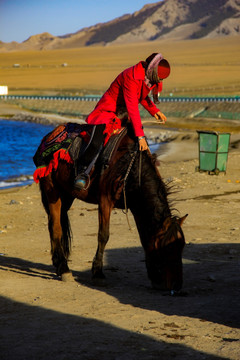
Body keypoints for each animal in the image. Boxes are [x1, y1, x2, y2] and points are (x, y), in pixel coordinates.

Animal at [37, 125, 188, 292]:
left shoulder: (136, 207)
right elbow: (103, 235)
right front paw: (98, 274)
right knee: (56, 227)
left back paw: (58, 264)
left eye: (181, 247)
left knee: (55, 224)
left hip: (67, 194)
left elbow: (143, 237)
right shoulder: (105, 202)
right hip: (52, 190)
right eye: (167, 249)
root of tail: (48, 137)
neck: (128, 166)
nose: (177, 286)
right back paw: (64, 269)